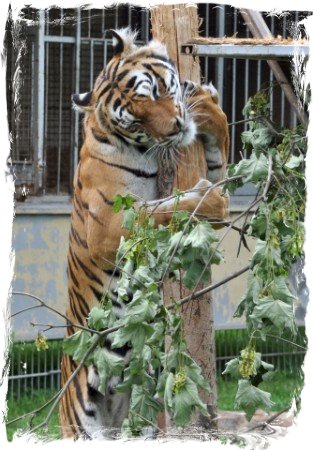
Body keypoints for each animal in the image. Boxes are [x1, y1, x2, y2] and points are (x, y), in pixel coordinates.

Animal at [59, 28, 229, 450]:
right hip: (84, 433)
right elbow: (164, 211)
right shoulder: (108, 225)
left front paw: (207, 107)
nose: (175, 128)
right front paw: (210, 202)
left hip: (143, 426)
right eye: (136, 121)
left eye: (155, 91)